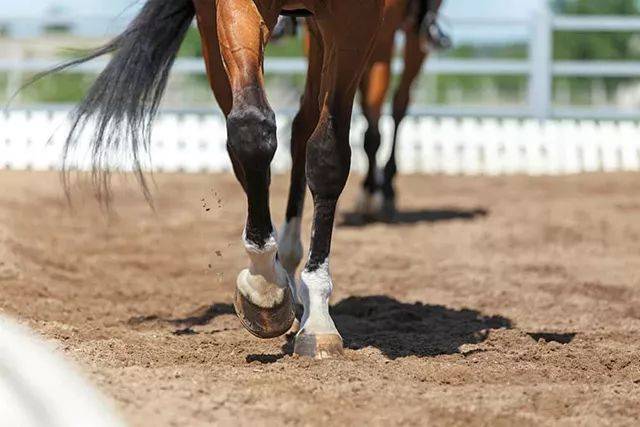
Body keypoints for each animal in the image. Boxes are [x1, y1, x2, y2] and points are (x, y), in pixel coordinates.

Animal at [36, 0, 384, 360]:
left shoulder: (357, 19)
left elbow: (328, 154)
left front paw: (317, 319)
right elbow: (250, 129)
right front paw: (265, 285)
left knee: (305, 127)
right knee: (256, 138)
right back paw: (281, 273)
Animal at [356, 0, 450, 221]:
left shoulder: (383, 37)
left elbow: (374, 123)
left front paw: (371, 192)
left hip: (414, 39)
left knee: (400, 102)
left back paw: (386, 191)